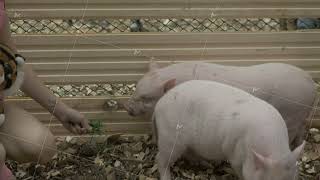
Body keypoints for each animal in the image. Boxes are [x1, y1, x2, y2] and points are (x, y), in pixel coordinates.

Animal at [124, 62, 316, 149]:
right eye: (136, 88)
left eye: (146, 97)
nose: (127, 108)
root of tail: (311, 83)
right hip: (300, 115)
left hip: (292, 113)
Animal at [154, 80, 304, 180]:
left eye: (294, 178)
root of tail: (159, 104)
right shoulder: (234, 154)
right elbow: (239, 170)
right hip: (169, 136)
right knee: (160, 158)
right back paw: (167, 177)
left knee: (188, 153)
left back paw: (206, 164)